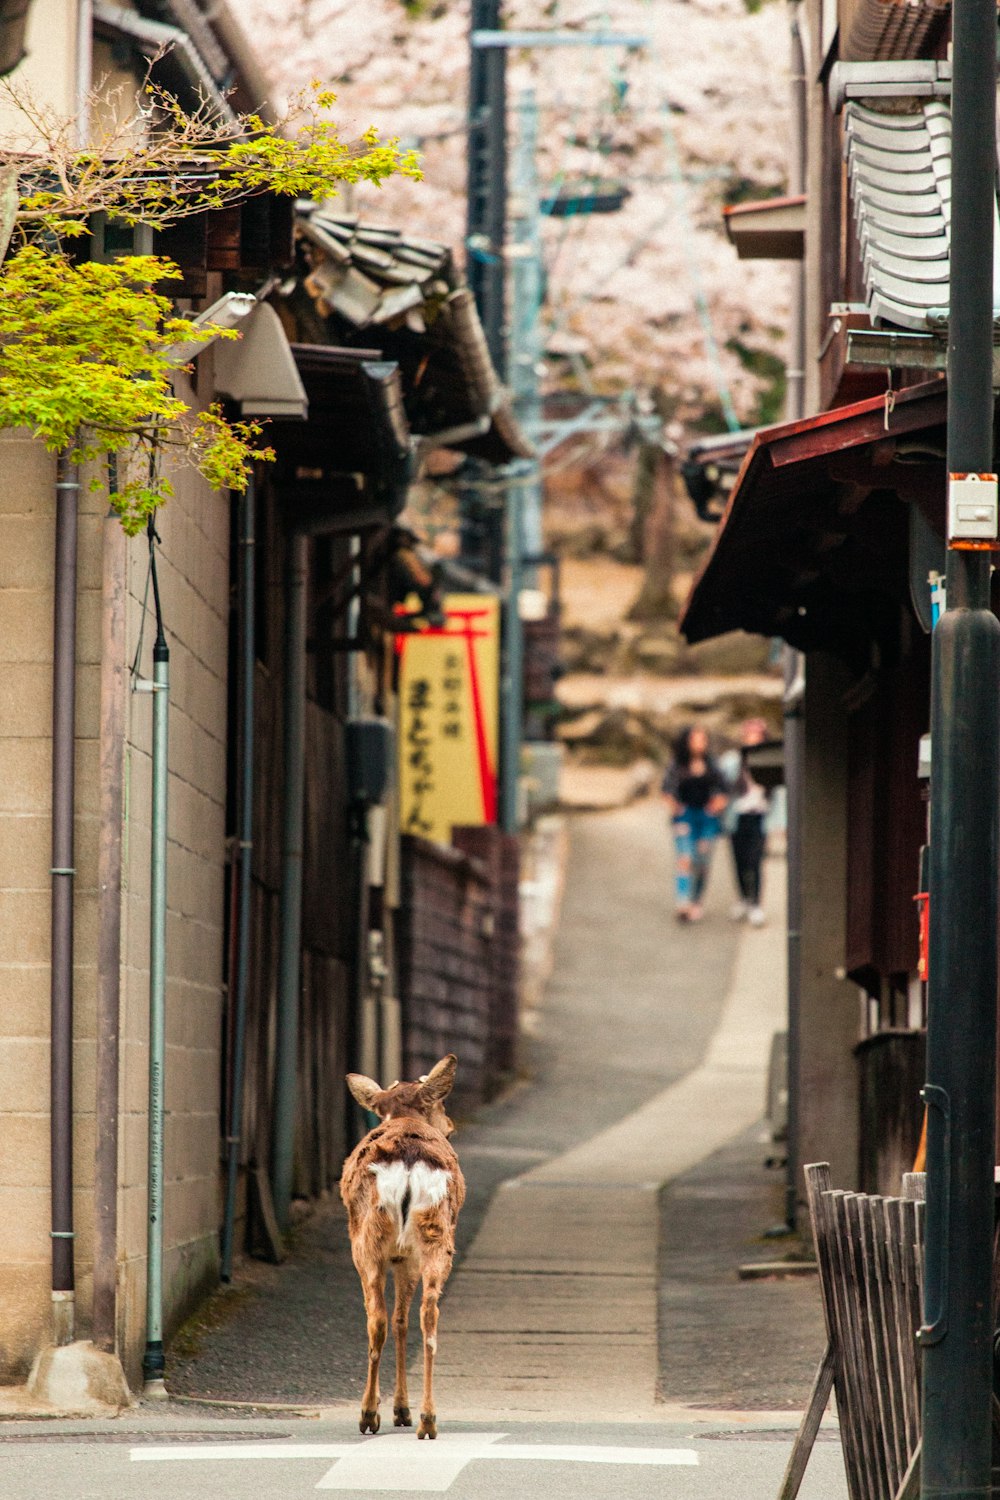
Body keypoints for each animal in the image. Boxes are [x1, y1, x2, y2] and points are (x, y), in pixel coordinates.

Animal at [341, 1056, 467, 1440]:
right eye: (441, 1105)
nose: (450, 1125)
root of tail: (410, 1161)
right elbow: (404, 1319)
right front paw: (402, 1410)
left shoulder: (396, 1256)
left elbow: (396, 1321)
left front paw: (398, 1410)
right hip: (436, 1234)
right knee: (428, 1315)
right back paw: (428, 1419)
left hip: (371, 1242)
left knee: (379, 1320)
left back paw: (371, 1414)